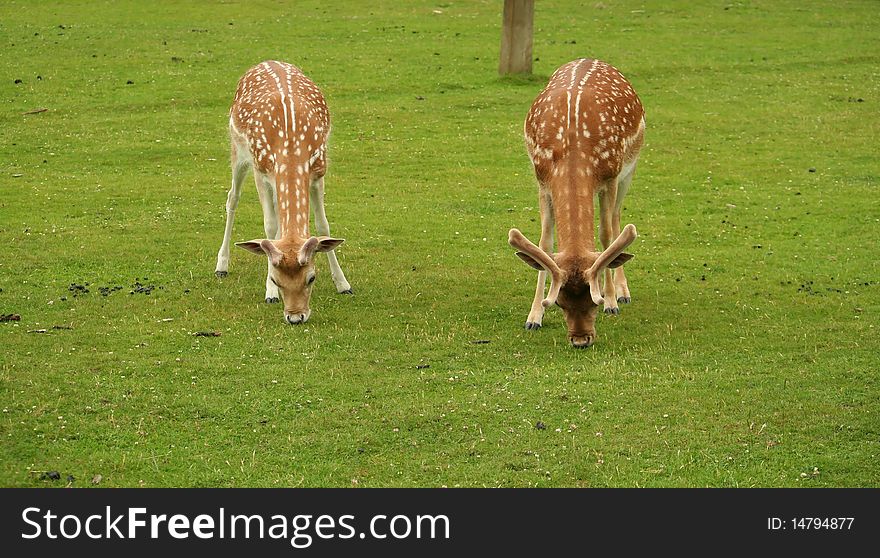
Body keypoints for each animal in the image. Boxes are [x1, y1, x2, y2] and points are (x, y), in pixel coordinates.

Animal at [215, 60, 352, 324]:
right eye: (275, 279)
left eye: (311, 277)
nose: (295, 317)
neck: (290, 145)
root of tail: (266, 61)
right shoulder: (261, 170)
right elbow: (269, 226)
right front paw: (269, 294)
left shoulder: (318, 170)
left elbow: (323, 225)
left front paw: (343, 284)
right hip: (238, 150)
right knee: (232, 198)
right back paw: (221, 266)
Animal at [508, 61, 648, 350]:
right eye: (559, 303)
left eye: (594, 302)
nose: (581, 339)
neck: (574, 151)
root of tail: (588, 59)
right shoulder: (542, 181)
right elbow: (545, 244)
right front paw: (534, 316)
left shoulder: (610, 178)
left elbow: (606, 235)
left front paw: (612, 301)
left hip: (630, 168)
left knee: (616, 218)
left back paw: (623, 292)